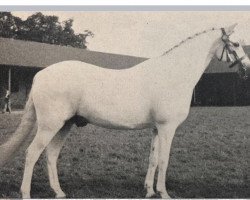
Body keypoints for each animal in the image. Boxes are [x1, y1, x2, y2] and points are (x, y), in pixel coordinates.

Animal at [0, 23, 250, 198]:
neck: (172, 74)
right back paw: (26, 193)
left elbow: (152, 159)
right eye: (236, 44)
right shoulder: (167, 128)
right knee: (32, 153)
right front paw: (164, 193)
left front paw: (149, 191)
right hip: (49, 126)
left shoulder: (156, 129)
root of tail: (40, 75)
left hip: (64, 125)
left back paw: (59, 192)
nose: (246, 69)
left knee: (51, 155)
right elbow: (164, 160)